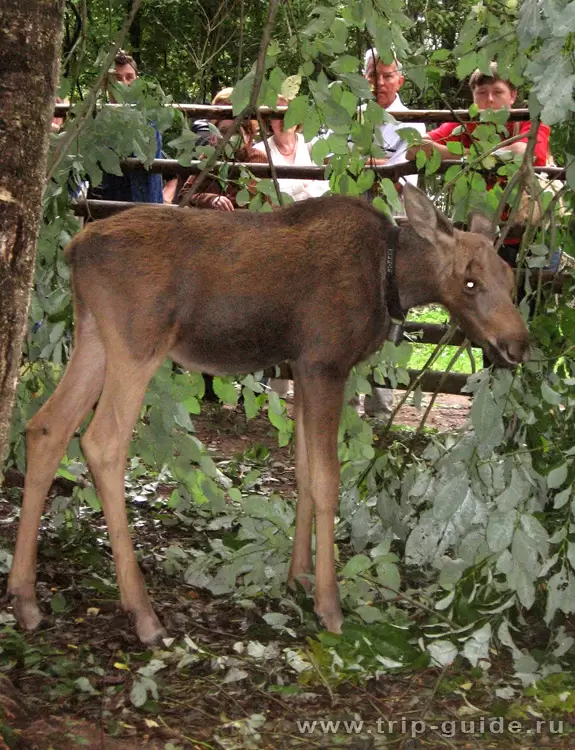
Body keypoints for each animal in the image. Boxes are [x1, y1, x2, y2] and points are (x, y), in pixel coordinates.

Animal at [6, 185, 530, 644]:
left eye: (509, 278)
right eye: (470, 282)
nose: (518, 344)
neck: (390, 281)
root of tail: (73, 252)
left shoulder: (300, 366)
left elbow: (302, 472)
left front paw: (298, 578)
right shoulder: (325, 362)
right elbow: (327, 479)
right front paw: (329, 605)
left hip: (94, 336)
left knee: (46, 426)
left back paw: (25, 598)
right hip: (138, 344)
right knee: (102, 443)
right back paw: (143, 614)